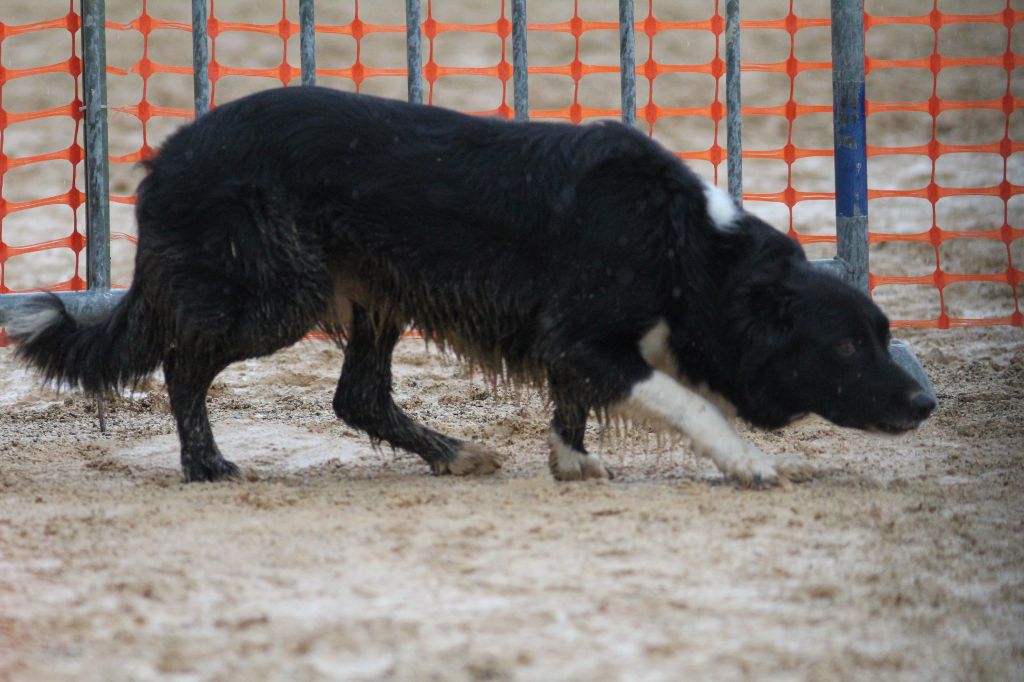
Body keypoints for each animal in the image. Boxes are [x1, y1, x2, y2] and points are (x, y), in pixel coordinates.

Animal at [8, 86, 937, 483]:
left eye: (885, 334)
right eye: (847, 343)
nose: (926, 404)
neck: (691, 248)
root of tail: (166, 158)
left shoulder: (578, 346)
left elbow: (576, 405)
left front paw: (571, 463)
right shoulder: (585, 336)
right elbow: (686, 403)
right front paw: (747, 463)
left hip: (371, 291)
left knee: (357, 396)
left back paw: (452, 453)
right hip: (277, 295)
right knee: (182, 364)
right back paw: (206, 465)